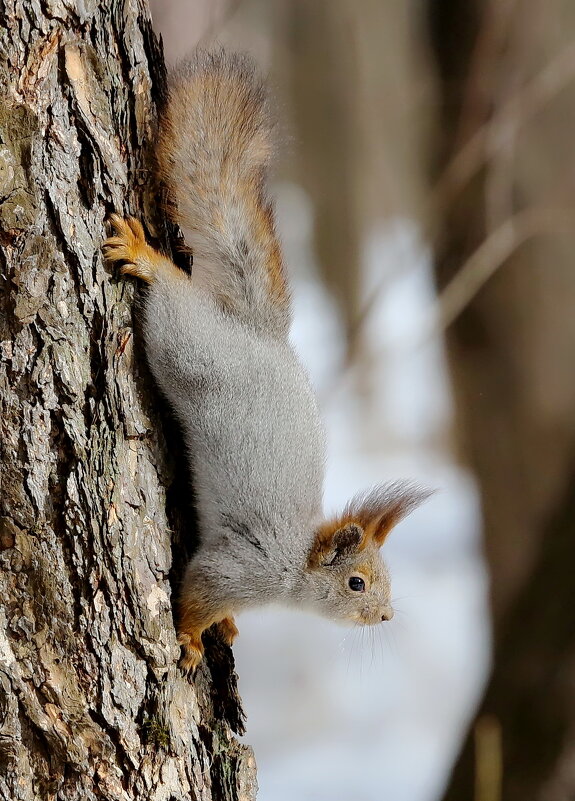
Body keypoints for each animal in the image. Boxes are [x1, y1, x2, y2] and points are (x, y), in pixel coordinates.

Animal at [103, 51, 430, 668]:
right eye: (356, 583)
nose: (385, 616)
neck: (295, 571)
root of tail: (260, 334)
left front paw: (226, 626)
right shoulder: (241, 566)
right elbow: (198, 591)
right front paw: (190, 638)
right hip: (185, 343)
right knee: (171, 301)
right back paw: (147, 258)